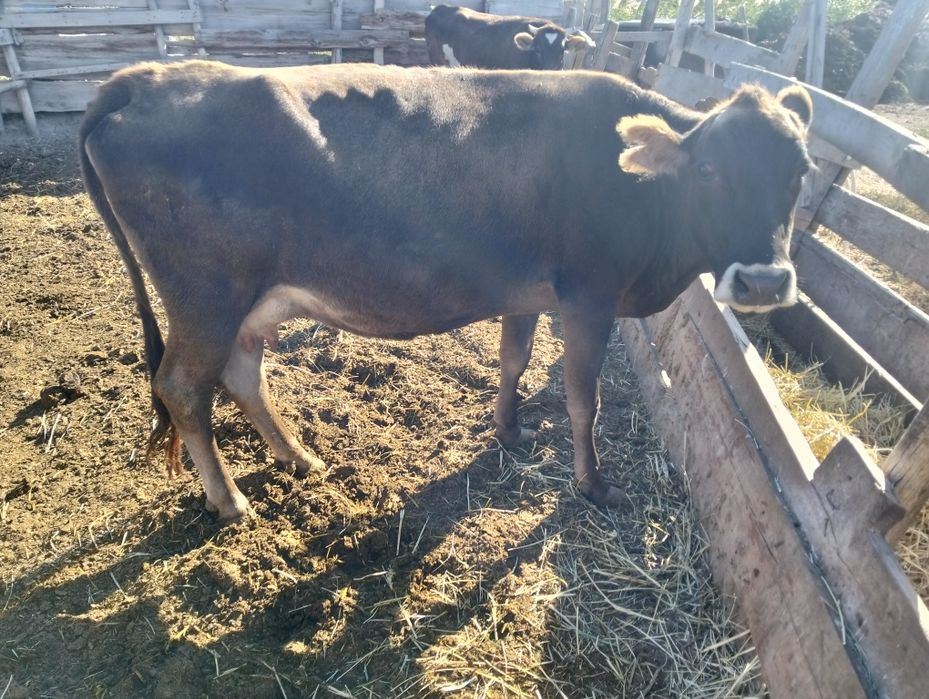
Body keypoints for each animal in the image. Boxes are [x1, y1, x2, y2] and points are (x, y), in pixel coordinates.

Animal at [79, 60, 811, 521]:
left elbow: (513, 359)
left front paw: (508, 429)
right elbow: (584, 399)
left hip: (248, 302)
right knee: (182, 387)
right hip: (205, 294)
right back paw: (230, 499)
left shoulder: (526, 292)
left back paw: (299, 455)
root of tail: (142, 79)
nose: (765, 280)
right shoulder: (589, 295)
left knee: (239, 373)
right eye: (709, 171)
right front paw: (594, 484)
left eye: (800, 171)